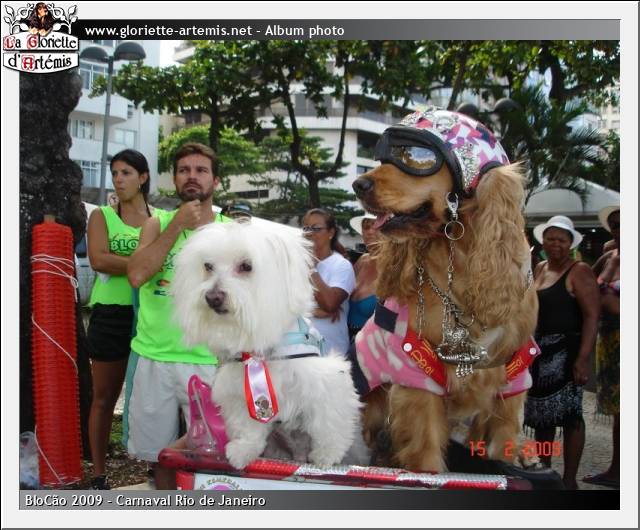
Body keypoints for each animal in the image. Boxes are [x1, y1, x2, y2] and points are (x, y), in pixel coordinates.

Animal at [171, 220, 362, 469]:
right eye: (208, 266)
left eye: (246, 266)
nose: (212, 297)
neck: (261, 351)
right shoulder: (241, 391)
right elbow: (248, 426)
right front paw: (243, 450)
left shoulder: (325, 382)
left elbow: (328, 421)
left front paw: (327, 455)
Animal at [352, 107, 539, 473]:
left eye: (416, 157)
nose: (358, 183)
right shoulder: (414, 370)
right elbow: (425, 451)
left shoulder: (515, 370)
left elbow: (505, 435)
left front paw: (512, 454)